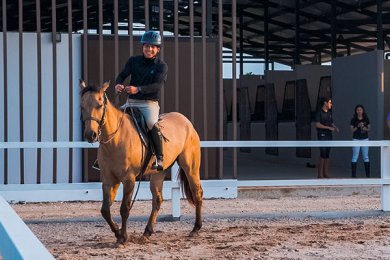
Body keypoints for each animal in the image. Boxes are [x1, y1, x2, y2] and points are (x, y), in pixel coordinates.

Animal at [78, 81, 203, 244]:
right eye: (82, 106)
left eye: (99, 105)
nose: (90, 135)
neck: (115, 139)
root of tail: (186, 122)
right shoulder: (109, 180)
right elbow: (105, 210)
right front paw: (117, 232)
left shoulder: (128, 179)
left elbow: (124, 208)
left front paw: (123, 237)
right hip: (159, 172)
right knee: (157, 199)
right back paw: (147, 232)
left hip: (190, 168)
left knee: (197, 192)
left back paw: (196, 228)